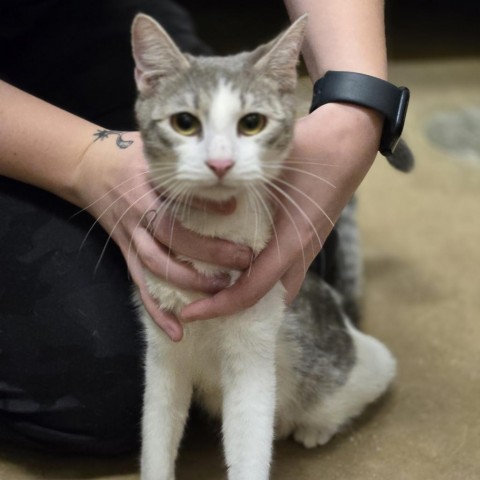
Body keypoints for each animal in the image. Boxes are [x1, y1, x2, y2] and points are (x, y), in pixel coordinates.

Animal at [132, 13, 398, 480]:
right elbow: (157, 437)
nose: (220, 163)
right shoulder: (163, 349)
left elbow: (249, 443)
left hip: (352, 366)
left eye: (251, 123)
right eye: (185, 123)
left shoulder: (252, 353)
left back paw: (312, 428)